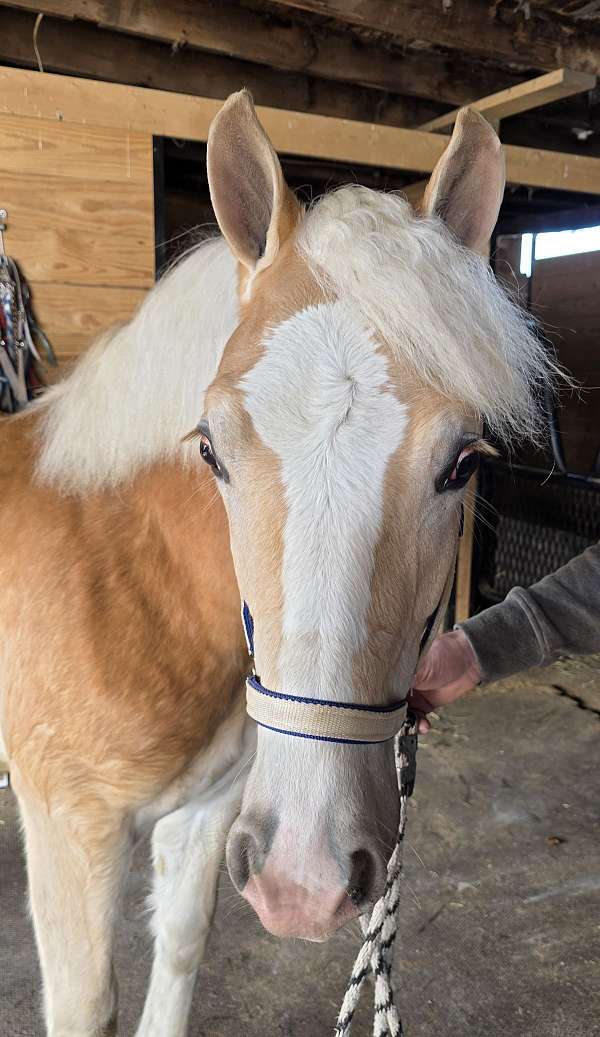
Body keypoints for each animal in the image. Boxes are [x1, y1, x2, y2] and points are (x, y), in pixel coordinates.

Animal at [0, 91, 553, 1037]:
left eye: (463, 463)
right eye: (211, 449)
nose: (306, 876)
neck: (129, 578)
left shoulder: (206, 812)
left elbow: (181, 947)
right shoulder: (69, 830)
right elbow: (88, 1004)